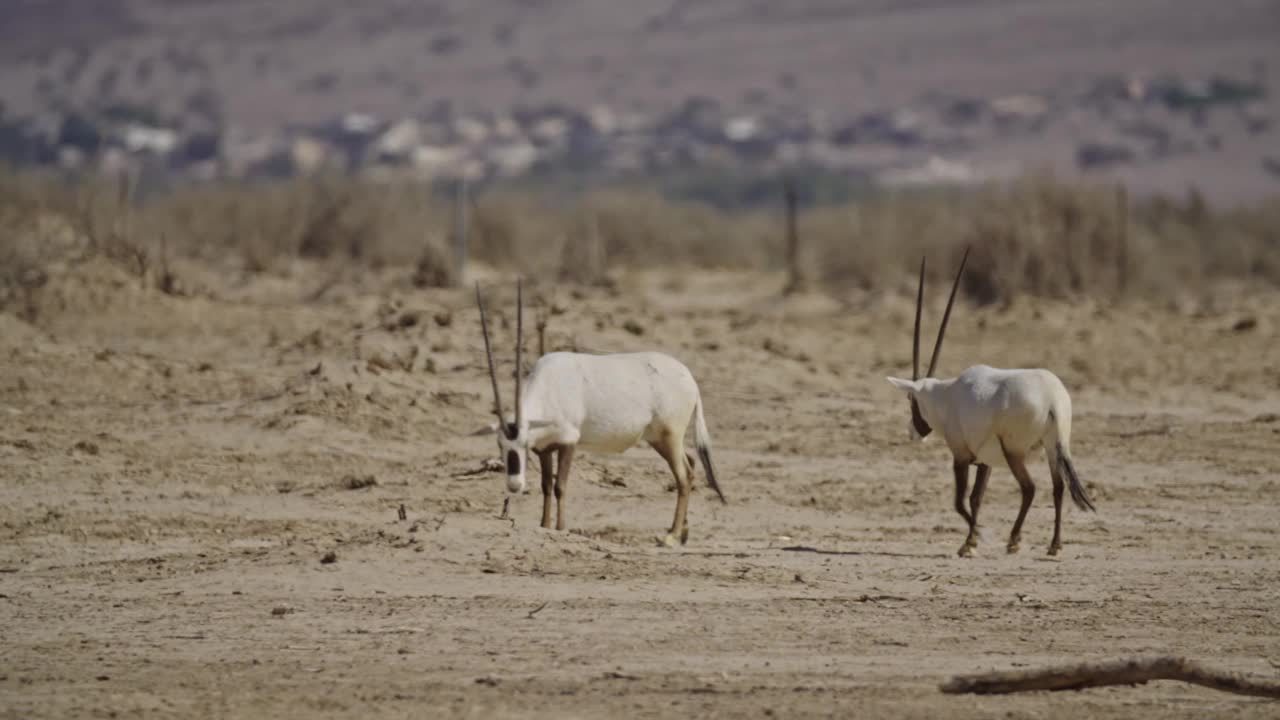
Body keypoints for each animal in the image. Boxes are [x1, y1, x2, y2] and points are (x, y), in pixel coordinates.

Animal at [473, 280, 732, 543]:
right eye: (500, 445)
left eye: (523, 444)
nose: (514, 485)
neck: (549, 386)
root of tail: (690, 380)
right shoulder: (545, 448)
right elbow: (546, 486)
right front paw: (544, 525)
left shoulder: (569, 442)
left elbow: (560, 486)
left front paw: (560, 528)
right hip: (659, 438)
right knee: (690, 463)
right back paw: (681, 533)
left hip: (670, 436)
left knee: (683, 475)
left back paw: (671, 537)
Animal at [885, 249, 1095, 558]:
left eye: (911, 399)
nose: (913, 432)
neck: (946, 396)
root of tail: (1054, 400)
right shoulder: (986, 460)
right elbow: (976, 498)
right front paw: (971, 540)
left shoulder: (961, 455)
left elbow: (960, 501)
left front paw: (973, 541)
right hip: (1053, 447)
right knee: (1058, 487)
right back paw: (1054, 545)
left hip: (1015, 450)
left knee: (1029, 488)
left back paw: (1014, 540)